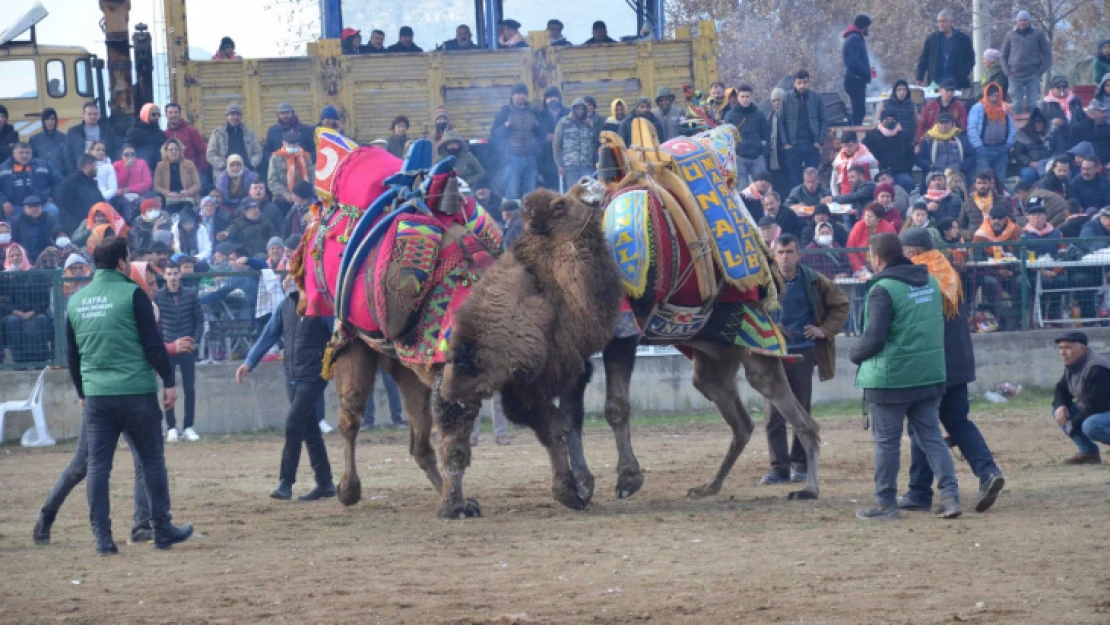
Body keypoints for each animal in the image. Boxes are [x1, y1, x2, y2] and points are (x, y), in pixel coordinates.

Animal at [563, 121, 816, 503]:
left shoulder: (625, 329)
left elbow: (615, 406)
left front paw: (628, 478)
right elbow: (573, 413)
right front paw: (580, 484)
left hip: (755, 339)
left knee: (796, 414)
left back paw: (810, 487)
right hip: (712, 359)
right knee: (742, 421)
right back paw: (709, 485)